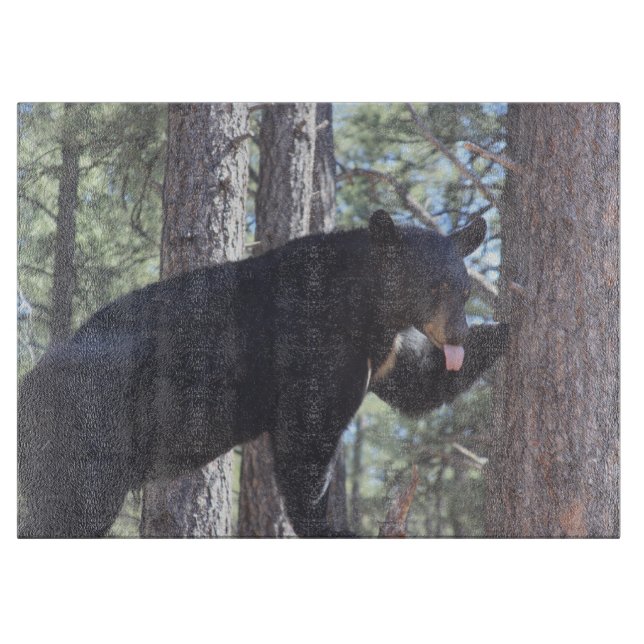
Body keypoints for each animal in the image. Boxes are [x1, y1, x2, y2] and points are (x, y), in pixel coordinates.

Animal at [18, 210, 506, 538]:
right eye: (434, 286)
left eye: (464, 289)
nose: (458, 333)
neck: (368, 309)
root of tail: (28, 385)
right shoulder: (316, 345)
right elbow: (308, 436)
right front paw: (328, 527)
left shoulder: (384, 352)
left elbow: (418, 384)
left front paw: (508, 325)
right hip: (87, 430)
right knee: (73, 510)